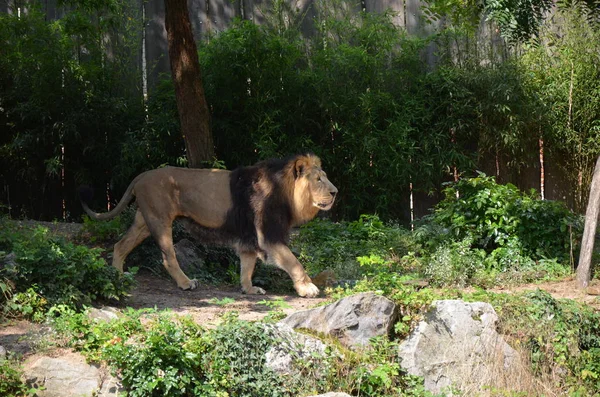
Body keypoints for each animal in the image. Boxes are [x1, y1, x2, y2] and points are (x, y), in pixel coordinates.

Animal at [79, 153, 338, 296]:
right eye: (318, 179)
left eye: (325, 177)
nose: (335, 192)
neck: (285, 192)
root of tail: (141, 175)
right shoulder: (268, 236)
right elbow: (294, 262)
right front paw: (308, 288)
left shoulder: (249, 238)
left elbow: (247, 266)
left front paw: (248, 289)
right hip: (160, 220)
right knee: (167, 257)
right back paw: (185, 283)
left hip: (144, 220)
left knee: (120, 245)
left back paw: (117, 276)